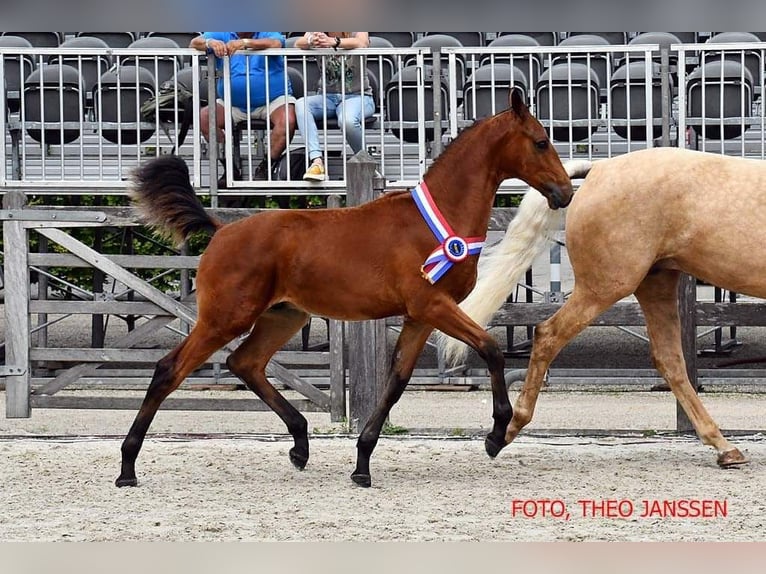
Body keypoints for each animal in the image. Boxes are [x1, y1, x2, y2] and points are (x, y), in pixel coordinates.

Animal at [115, 92, 576, 488]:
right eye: (540, 142)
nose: (566, 192)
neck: (437, 220)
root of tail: (221, 230)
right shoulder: (434, 305)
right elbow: (491, 349)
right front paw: (497, 434)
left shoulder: (418, 317)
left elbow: (396, 382)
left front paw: (362, 464)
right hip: (224, 317)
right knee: (169, 370)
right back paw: (127, 467)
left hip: (283, 316)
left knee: (245, 363)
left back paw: (300, 444)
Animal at [440, 147, 752, 468]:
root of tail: (598, 169)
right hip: (604, 287)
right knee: (548, 334)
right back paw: (506, 431)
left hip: (655, 284)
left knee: (670, 360)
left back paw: (724, 447)